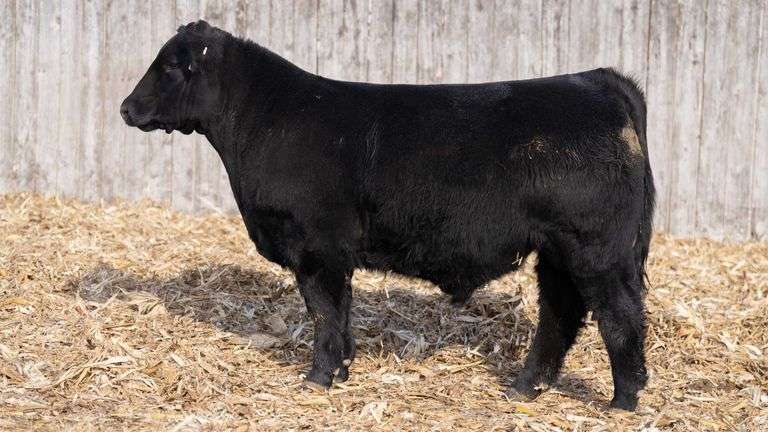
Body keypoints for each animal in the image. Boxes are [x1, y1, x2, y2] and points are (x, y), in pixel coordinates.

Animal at [121, 21, 655, 411]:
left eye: (171, 67)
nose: (126, 108)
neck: (264, 120)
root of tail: (597, 79)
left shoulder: (317, 246)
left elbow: (324, 311)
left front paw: (318, 377)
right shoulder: (333, 253)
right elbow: (340, 311)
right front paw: (341, 370)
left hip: (596, 250)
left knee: (620, 316)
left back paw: (623, 401)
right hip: (558, 251)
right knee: (560, 315)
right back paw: (524, 388)